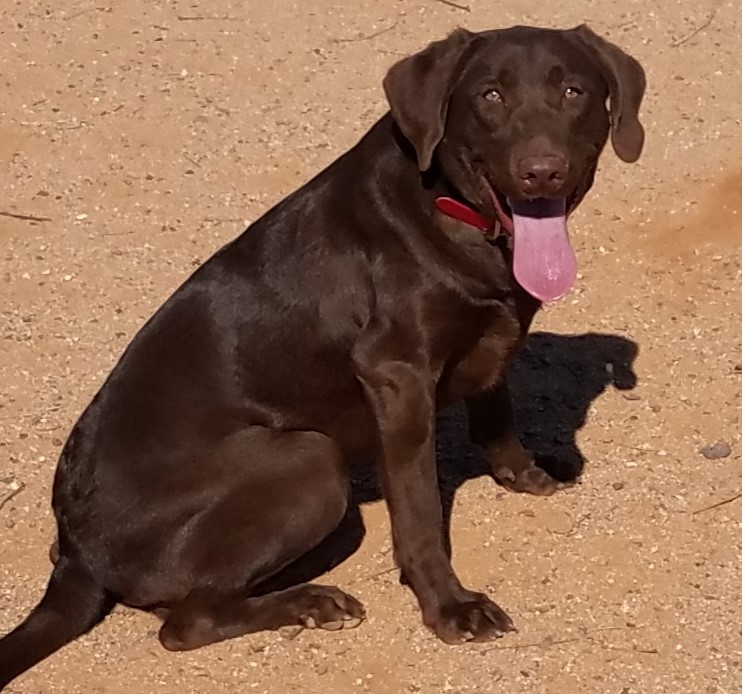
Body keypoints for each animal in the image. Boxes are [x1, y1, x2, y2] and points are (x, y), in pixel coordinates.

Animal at [0, 23, 644, 692]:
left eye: (573, 91)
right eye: (491, 95)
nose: (542, 173)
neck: (453, 209)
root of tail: (76, 554)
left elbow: (497, 407)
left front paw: (523, 473)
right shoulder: (397, 375)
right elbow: (419, 513)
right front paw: (449, 606)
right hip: (310, 461)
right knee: (185, 621)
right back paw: (308, 602)